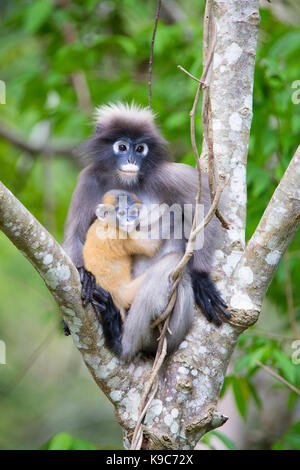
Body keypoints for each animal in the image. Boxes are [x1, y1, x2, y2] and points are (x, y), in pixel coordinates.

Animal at [82, 189, 162, 322]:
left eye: (133, 213)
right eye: (122, 213)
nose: (129, 219)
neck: (105, 224)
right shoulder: (118, 235)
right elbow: (151, 245)